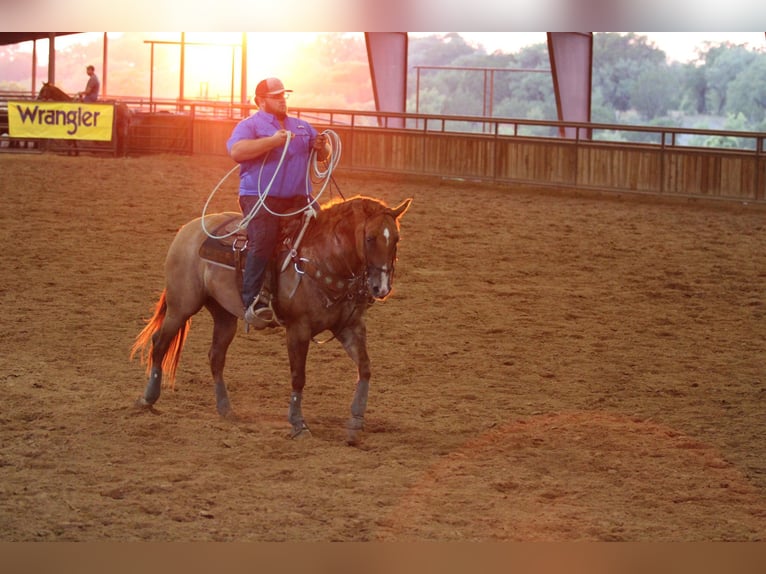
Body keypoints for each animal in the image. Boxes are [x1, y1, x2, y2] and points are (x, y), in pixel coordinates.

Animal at [130, 197, 414, 446]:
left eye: (396, 239)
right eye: (370, 238)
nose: (381, 288)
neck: (324, 259)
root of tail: (187, 230)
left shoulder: (350, 327)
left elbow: (365, 368)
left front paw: (355, 421)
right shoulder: (298, 329)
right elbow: (298, 376)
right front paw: (298, 424)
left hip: (224, 315)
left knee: (215, 356)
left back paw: (225, 409)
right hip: (182, 306)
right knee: (159, 342)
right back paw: (147, 399)